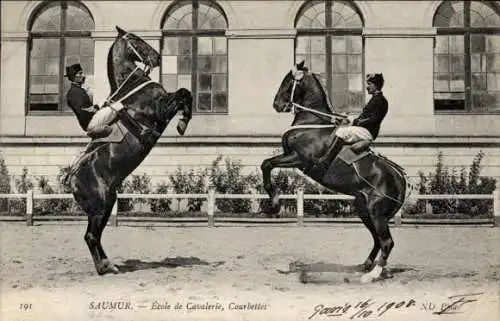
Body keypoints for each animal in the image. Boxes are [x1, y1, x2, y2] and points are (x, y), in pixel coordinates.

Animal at [69, 26, 194, 274]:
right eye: (136, 39)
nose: (157, 57)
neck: (132, 86)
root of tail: (72, 182)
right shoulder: (161, 110)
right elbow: (184, 93)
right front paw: (183, 123)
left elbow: (185, 94)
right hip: (102, 205)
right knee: (91, 236)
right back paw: (103, 267)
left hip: (105, 205)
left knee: (94, 236)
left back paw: (109, 264)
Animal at [260, 61, 408, 282]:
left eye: (288, 81)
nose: (277, 104)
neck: (312, 124)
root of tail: (401, 178)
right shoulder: (290, 156)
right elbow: (267, 164)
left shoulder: (298, 158)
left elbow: (266, 164)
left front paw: (275, 202)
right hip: (364, 209)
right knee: (377, 240)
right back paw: (365, 266)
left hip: (376, 212)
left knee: (386, 242)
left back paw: (371, 275)